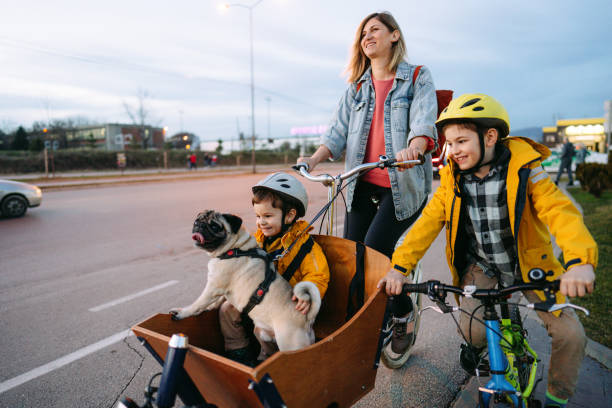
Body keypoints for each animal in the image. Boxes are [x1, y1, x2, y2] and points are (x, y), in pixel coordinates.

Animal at [167, 210, 320, 350]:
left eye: (215, 226)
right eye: (197, 221)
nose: (199, 225)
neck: (235, 248)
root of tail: (307, 320)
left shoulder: (213, 287)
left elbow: (198, 303)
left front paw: (182, 313)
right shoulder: (220, 289)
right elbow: (215, 302)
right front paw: (209, 308)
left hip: (289, 345)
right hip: (263, 332)